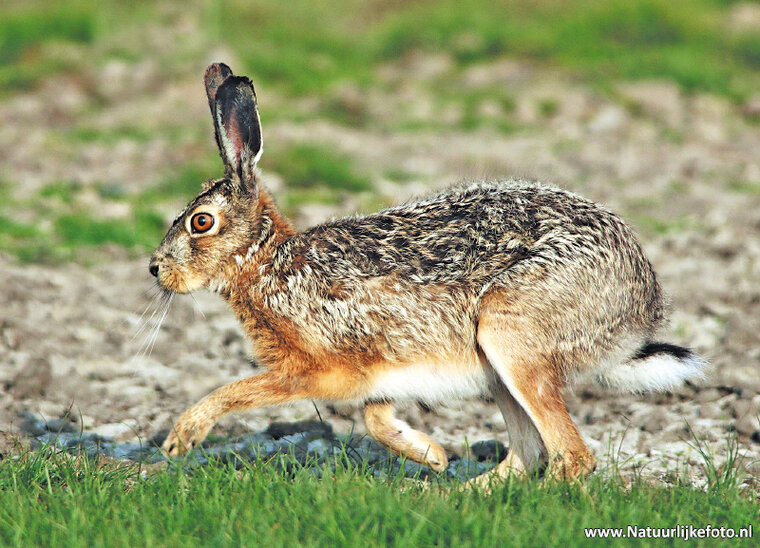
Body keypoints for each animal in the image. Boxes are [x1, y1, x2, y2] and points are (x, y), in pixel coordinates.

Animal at [149, 63, 707, 480]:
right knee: (528, 453)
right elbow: (375, 417)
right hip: (499, 366)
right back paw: (447, 493)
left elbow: (242, 390)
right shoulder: (380, 374)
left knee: (571, 458)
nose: (156, 269)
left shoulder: (316, 369)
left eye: (201, 222)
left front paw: (181, 438)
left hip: (512, 336)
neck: (265, 261)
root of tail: (641, 306)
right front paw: (433, 456)